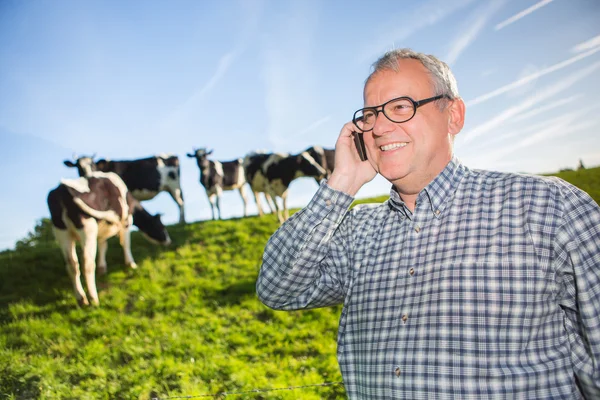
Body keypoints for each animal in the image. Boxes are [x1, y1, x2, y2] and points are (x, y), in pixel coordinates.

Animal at [47, 172, 171, 306]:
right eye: (161, 226)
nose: (169, 241)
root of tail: (62, 190)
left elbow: (103, 245)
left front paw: (102, 268)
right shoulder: (126, 220)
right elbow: (126, 243)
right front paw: (131, 264)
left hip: (62, 232)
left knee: (71, 264)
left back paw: (81, 299)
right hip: (88, 228)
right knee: (87, 263)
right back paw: (94, 298)